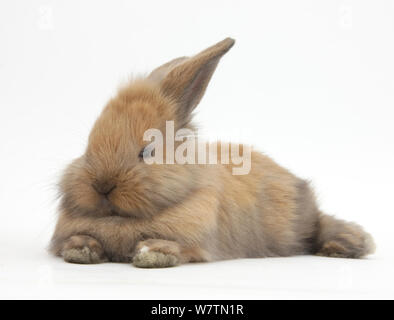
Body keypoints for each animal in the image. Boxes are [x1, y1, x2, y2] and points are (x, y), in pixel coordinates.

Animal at [50, 37, 376, 268]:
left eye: (149, 150)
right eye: (88, 145)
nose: (102, 185)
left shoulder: (197, 241)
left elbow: (176, 247)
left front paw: (152, 253)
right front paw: (81, 249)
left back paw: (344, 245)